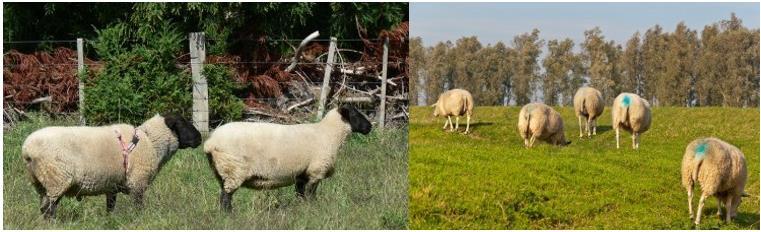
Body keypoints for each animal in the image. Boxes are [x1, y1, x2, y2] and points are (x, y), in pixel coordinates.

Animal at [22, 113, 202, 218]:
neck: (151, 142)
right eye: (183, 123)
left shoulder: (112, 186)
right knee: (49, 209)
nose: (200, 138)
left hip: (41, 182)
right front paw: (139, 220)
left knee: (43, 207)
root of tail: (27, 149)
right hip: (57, 179)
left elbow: (110, 207)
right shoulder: (138, 182)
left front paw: (110, 221)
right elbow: (138, 207)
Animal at [200, 105, 370, 212]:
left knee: (223, 193)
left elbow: (300, 194)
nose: (370, 127)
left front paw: (303, 209)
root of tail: (210, 142)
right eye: (355, 115)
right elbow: (311, 194)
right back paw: (229, 215)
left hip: (221, 170)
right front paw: (313, 208)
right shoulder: (316, 171)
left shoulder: (302, 174)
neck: (329, 134)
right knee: (226, 197)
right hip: (234, 169)